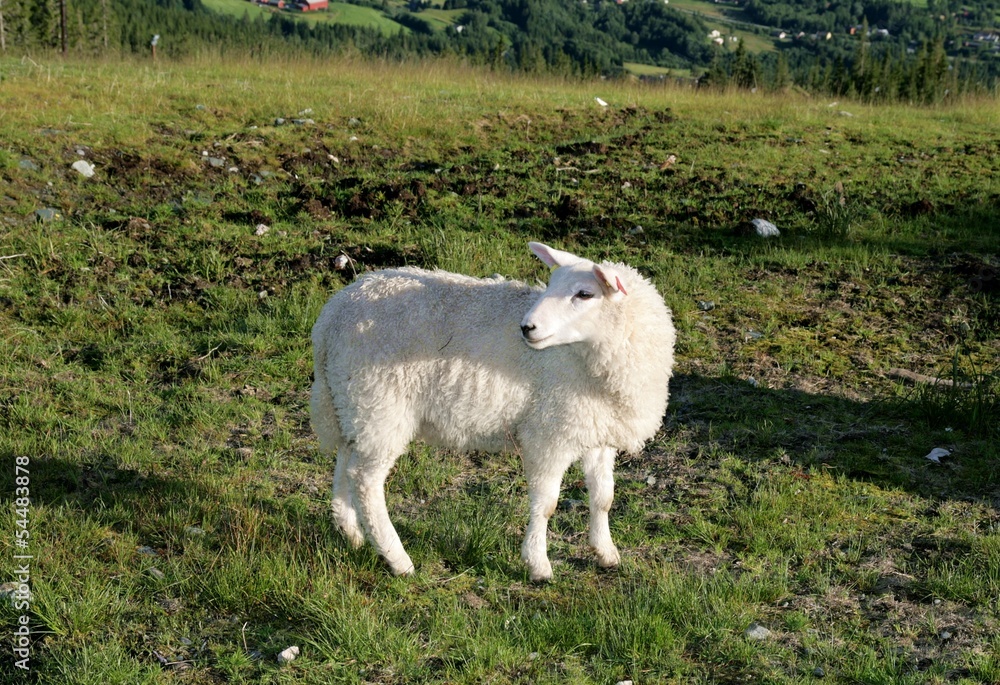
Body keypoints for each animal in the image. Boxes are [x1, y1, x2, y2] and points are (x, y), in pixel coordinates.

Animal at [310, 241, 675, 581]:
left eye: (585, 294)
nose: (526, 327)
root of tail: (331, 318)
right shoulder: (550, 433)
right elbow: (546, 504)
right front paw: (538, 565)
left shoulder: (597, 430)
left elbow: (603, 497)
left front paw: (606, 553)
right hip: (381, 406)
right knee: (366, 481)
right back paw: (397, 558)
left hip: (352, 402)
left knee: (346, 461)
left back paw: (351, 533)